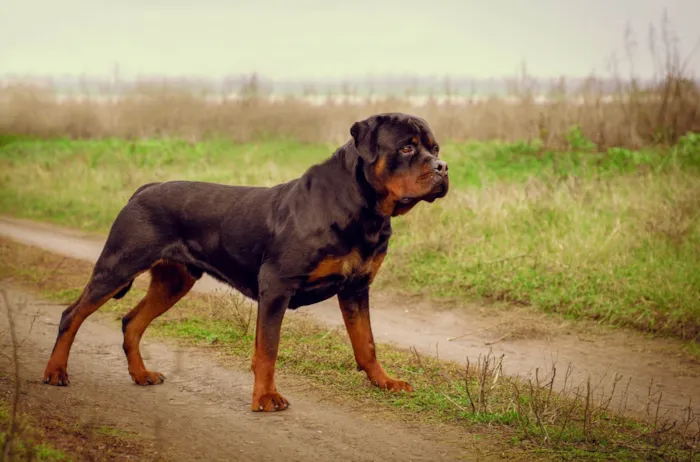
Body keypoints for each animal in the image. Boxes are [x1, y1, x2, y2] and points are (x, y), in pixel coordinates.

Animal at [42, 112, 448, 412]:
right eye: (407, 147)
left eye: (435, 148)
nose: (443, 167)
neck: (363, 209)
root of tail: (143, 188)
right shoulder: (277, 286)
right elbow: (267, 348)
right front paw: (265, 397)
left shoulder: (356, 287)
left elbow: (367, 344)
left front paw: (385, 382)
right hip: (117, 265)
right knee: (72, 314)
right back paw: (56, 371)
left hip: (175, 281)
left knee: (132, 321)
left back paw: (141, 374)